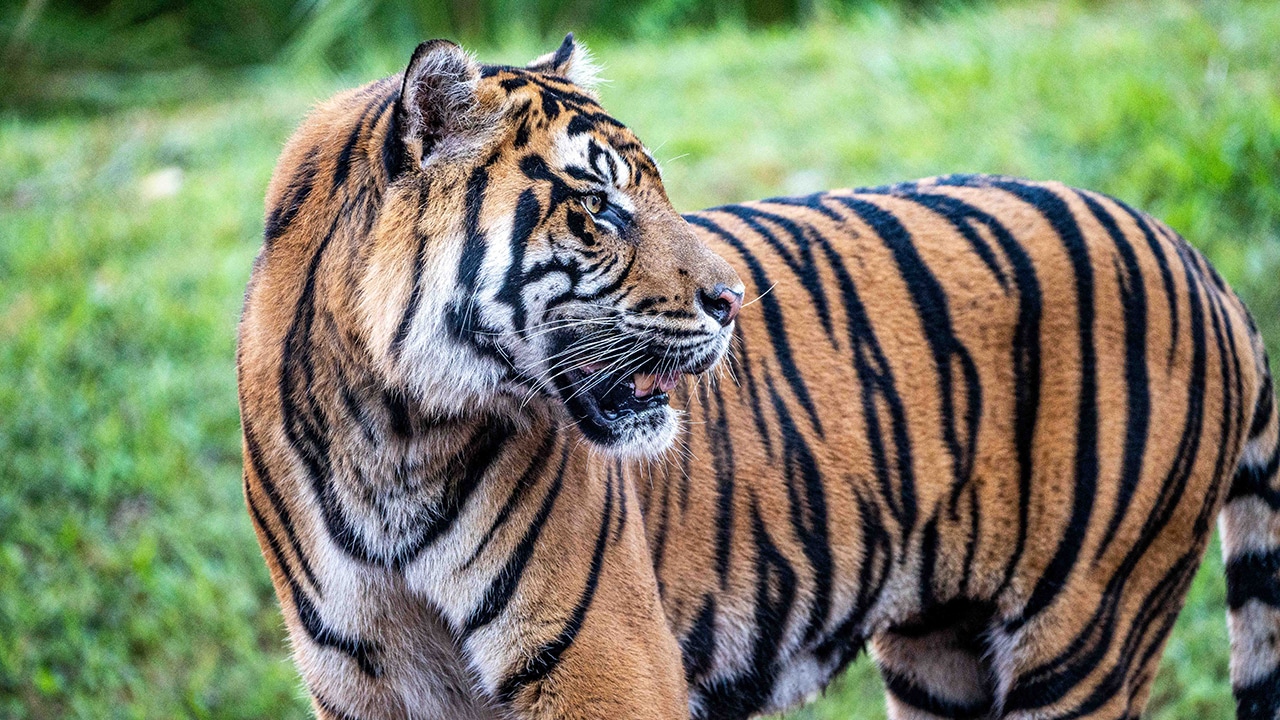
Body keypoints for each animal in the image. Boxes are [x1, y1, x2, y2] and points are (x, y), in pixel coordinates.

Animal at [238, 32, 1280, 717]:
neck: (393, 431)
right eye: (600, 207)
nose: (733, 299)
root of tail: (1201, 262)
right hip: (944, 649)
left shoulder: (604, 663)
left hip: (1089, 635)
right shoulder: (368, 688)